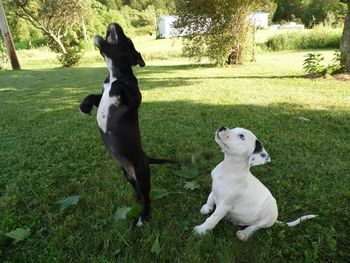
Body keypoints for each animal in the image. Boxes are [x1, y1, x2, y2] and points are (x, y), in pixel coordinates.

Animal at [79, 23, 172, 226]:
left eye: (127, 40)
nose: (114, 24)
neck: (114, 74)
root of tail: (146, 158)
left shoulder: (133, 98)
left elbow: (121, 86)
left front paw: (117, 88)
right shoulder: (102, 94)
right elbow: (93, 96)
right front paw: (84, 106)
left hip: (142, 175)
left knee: (147, 197)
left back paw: (144, 217)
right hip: (129, 176)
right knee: (140, 193)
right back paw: (138, 202)